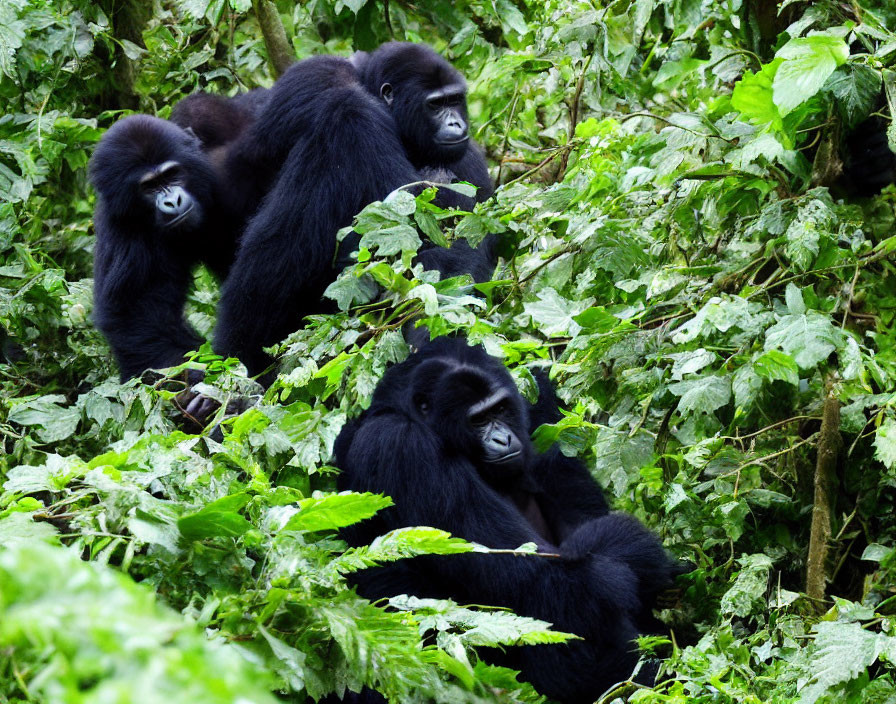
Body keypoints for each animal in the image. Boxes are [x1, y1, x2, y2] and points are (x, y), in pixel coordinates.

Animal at [332, 338, 684, 700]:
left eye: (500, 410)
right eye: (477, 420)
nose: (502, 439)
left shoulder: (535, 397)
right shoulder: (400, 444)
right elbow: (548, 579)